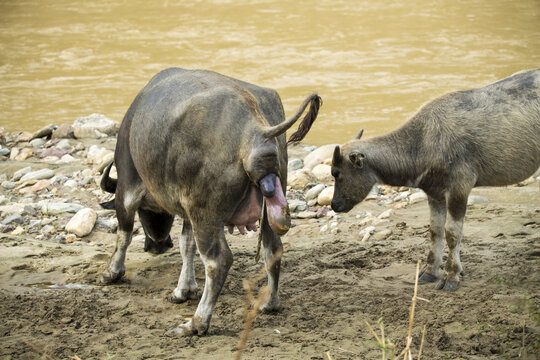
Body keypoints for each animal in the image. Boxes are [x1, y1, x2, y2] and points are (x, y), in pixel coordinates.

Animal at [99, 67, 320, 334]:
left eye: (144, 213)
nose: (158, 245)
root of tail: (255, 132)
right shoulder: (187, 209)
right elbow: (186, 245)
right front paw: (184, 289)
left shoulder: (127, 188)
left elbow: (124, 235)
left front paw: (111, 273)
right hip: (268, 205)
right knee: (273, 248)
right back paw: (270, 302)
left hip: (206, 214)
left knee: (218, 261)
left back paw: (196, 323)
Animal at [332, 69, 540, 292]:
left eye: (337, 173)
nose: (334, 204)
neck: (423, 143)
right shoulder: (435, 193)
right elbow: (435, 231)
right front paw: (430, 271)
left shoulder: (459, 189)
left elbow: (452, 233)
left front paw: (452, 276)